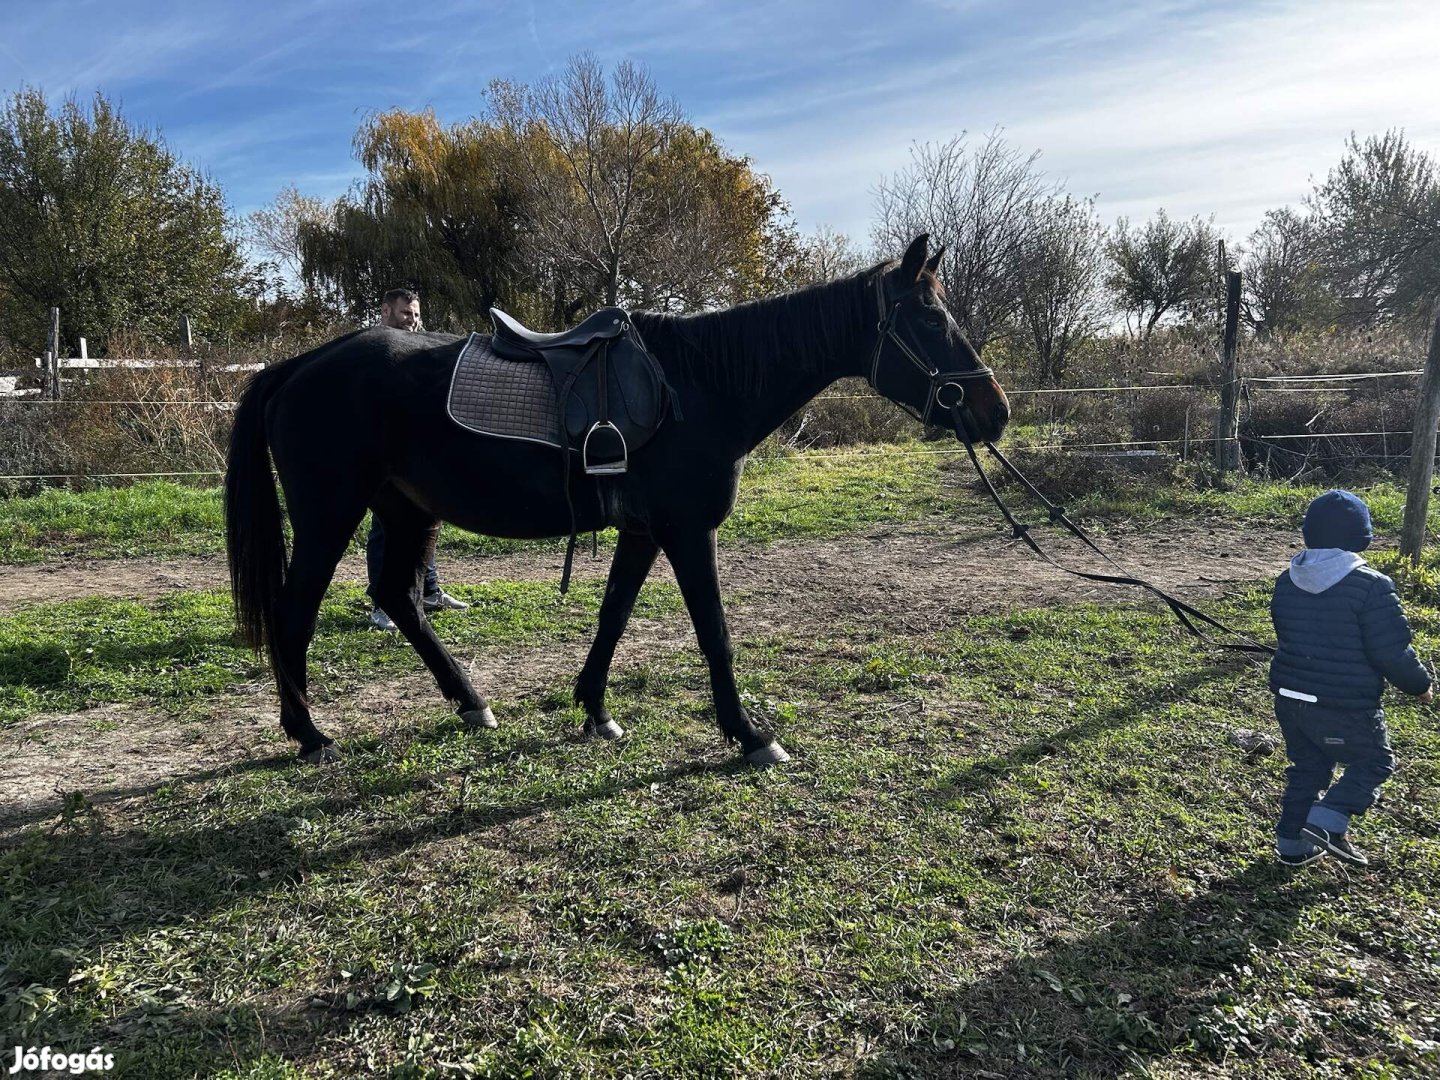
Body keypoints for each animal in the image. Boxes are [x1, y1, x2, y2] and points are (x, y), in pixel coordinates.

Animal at [227, 233, 1013, 766]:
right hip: (332, 513)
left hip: (407, 509)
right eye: (930, 321)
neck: (703, 383)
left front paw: (595, 710)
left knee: (398, 596)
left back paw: (471, 702)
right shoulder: (688, 530)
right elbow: (713, 632)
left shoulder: (643, 530)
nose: (995, 411)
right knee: (297, 613)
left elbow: (612, 615)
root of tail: (300, 364)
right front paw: (748, 735)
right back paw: (310, 734)